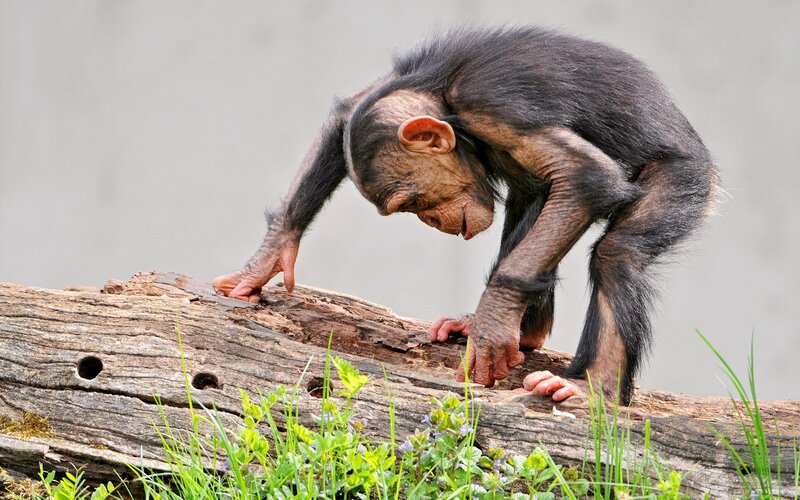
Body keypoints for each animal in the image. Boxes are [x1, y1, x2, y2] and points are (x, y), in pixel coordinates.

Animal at [213, 27, 719, 405]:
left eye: (411, 202)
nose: (431, 220)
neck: (447, 100)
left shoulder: (492, 106)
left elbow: (585, 176)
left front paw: (492, 325)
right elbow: (347, 111)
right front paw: (266, 258)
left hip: (686, 177)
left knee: (617, 254)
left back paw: (593, 388)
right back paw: (525, 331)